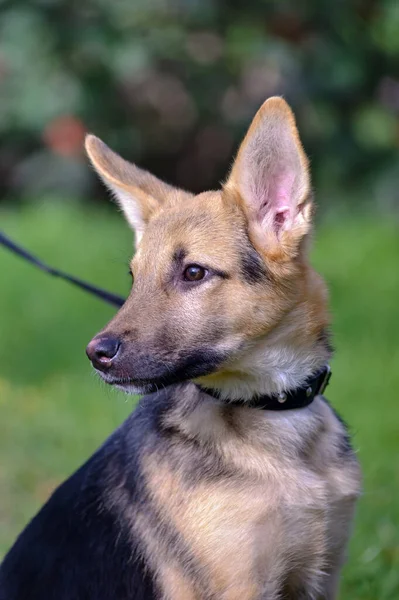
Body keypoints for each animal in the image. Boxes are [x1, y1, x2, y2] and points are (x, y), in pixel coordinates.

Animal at [0, 96, 362, 596]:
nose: (96, 355)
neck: (273, 411)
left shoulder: (322, 574)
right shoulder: (242, 585)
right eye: (134, 277)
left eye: (193, 272)